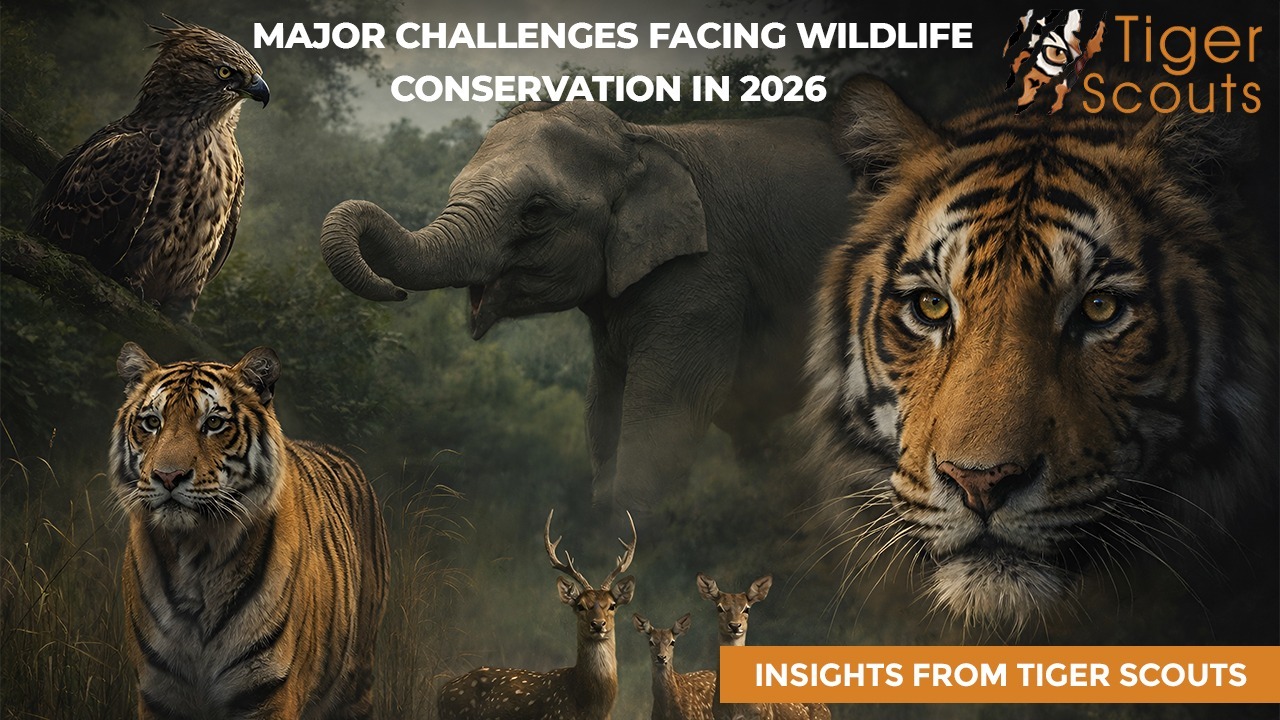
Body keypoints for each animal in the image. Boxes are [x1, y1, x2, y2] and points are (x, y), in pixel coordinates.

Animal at [110, 342, 390, 719]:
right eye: (152, 422)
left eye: (213, 423)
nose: (168, 476)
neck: (194, 554)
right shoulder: (159, 693)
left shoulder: (267, 691)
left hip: (355, 681)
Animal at [320, 100, 854, 511]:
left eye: (535, 211)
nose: (396, 293)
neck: (641, 140)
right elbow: (604, 399)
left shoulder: (706, 273)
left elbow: (670, 404)